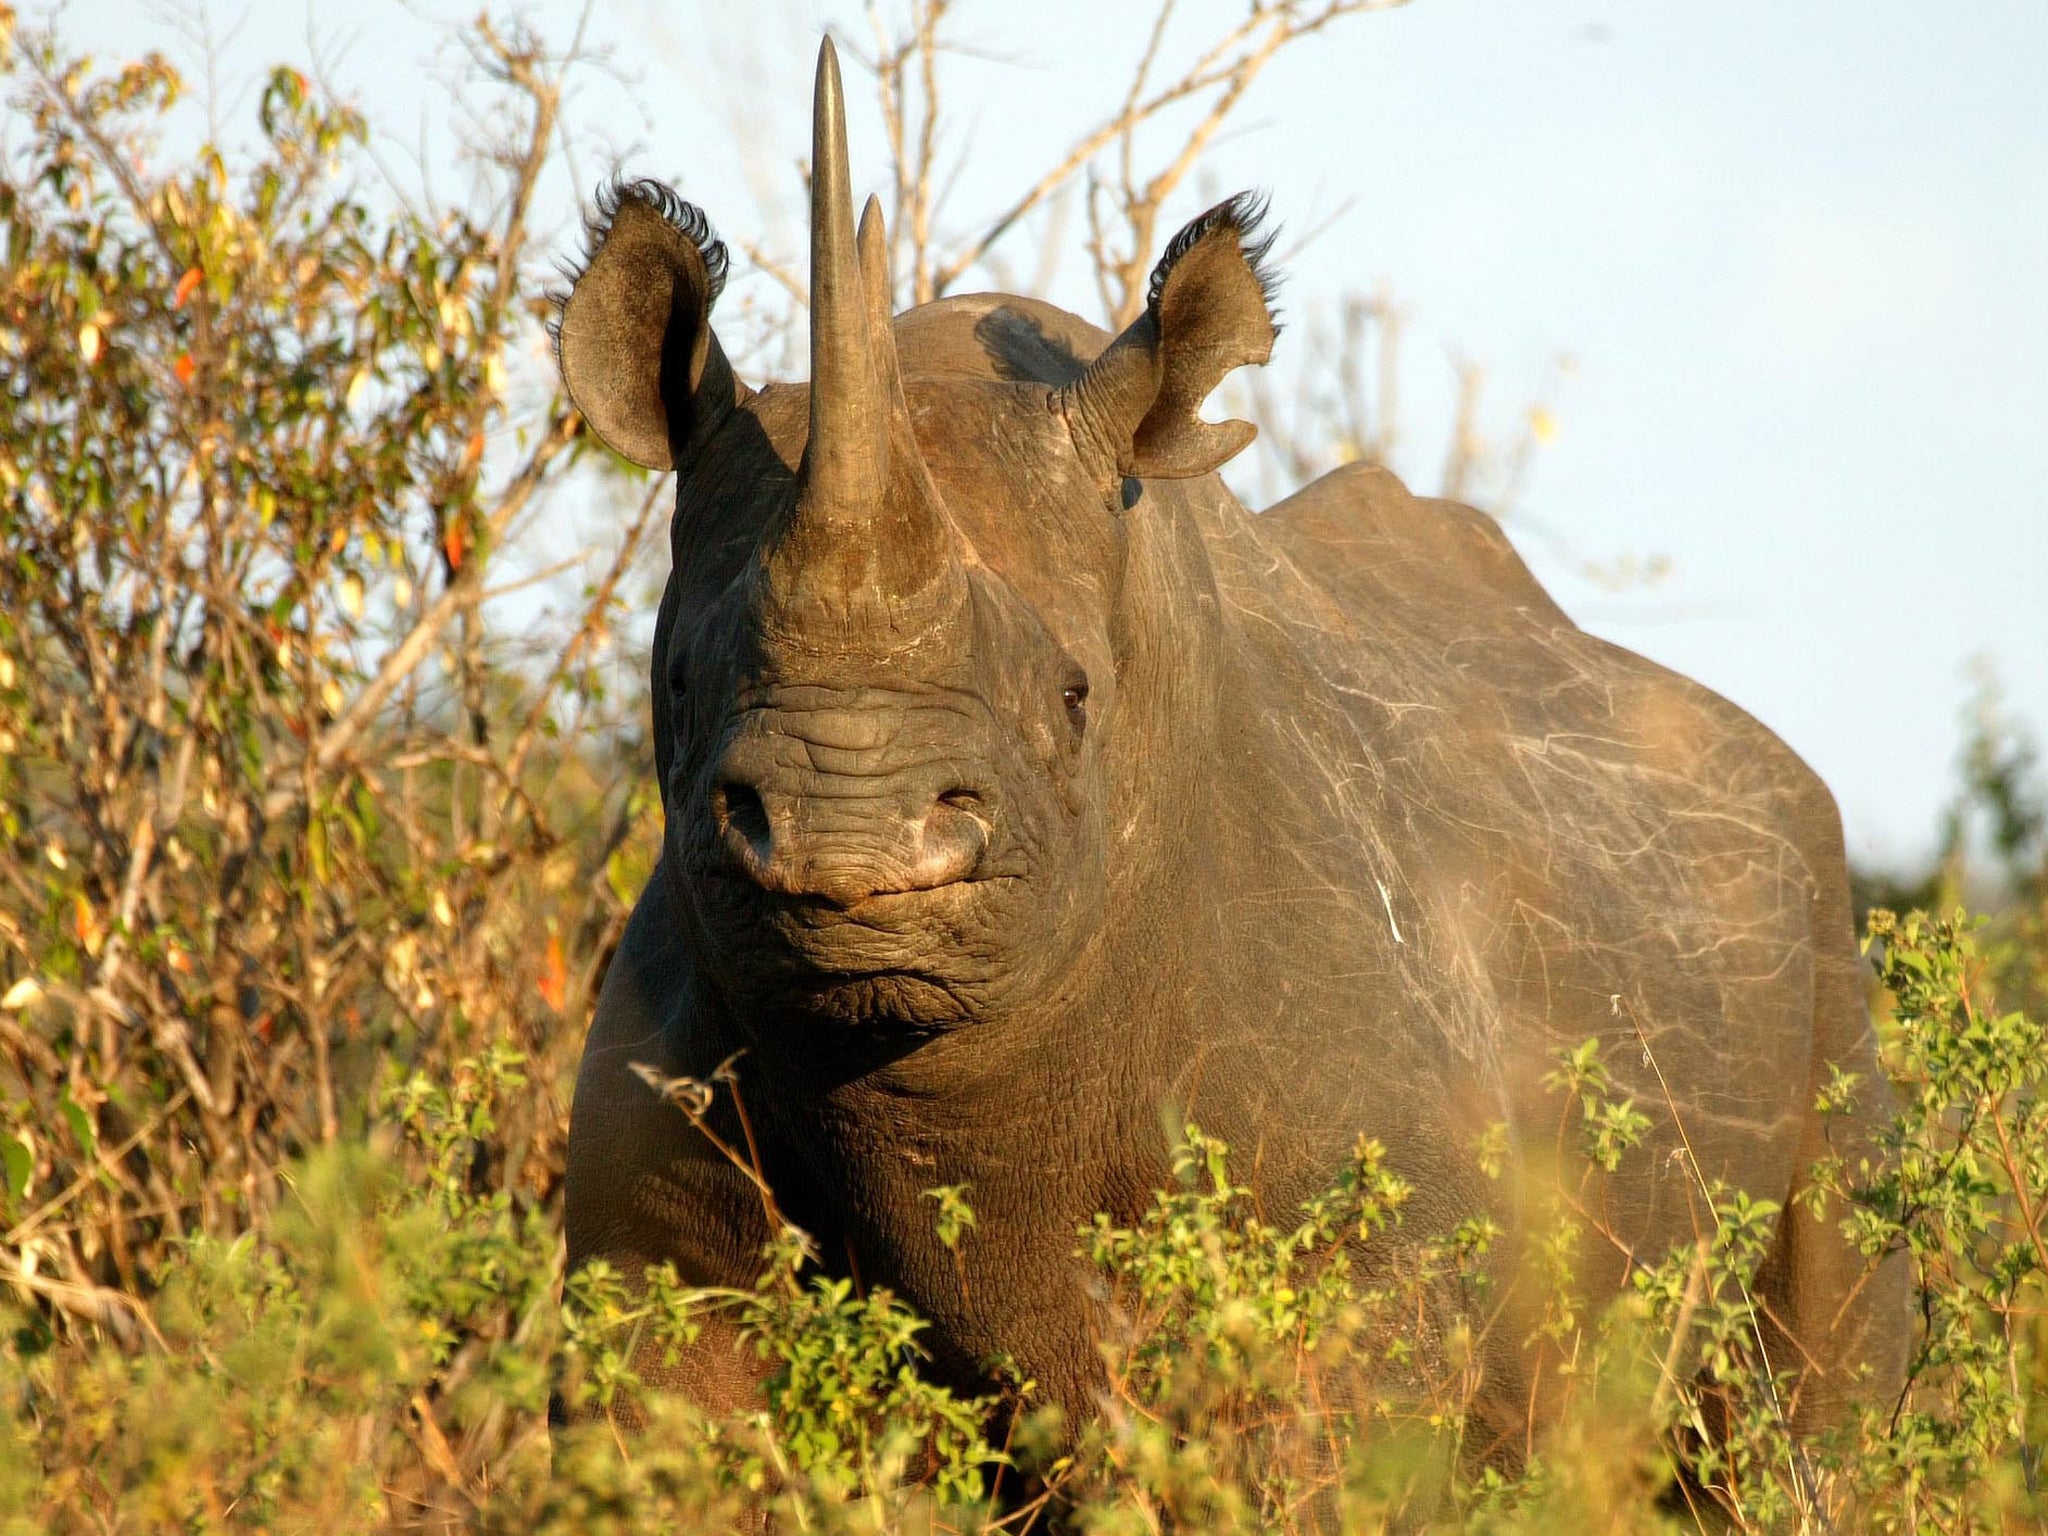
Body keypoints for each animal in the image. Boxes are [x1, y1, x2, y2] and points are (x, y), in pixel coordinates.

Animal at [557, 36, 1900, 1458]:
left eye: (1074, 695)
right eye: (679, 683)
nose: (847, 829)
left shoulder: (1361, 1270)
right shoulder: (650, 1231)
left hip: (1819, 951)